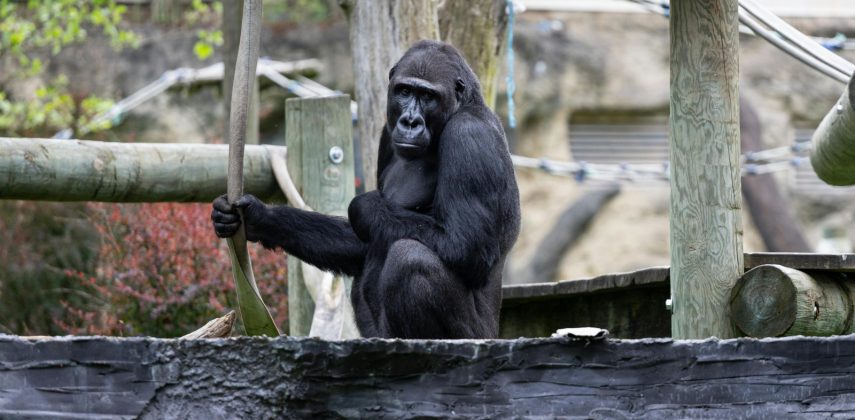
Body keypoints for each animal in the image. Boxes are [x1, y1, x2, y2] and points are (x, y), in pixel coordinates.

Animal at [214, 41, 520, 340]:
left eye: (428, 96)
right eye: (404, 91)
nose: (410, 122)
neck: (462, 106)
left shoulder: (470, 136)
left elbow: (465, 245)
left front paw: (362, 206)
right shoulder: (387, 134)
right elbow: (360, 243)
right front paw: (260, 218)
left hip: (479, 335)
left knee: (410, 258)